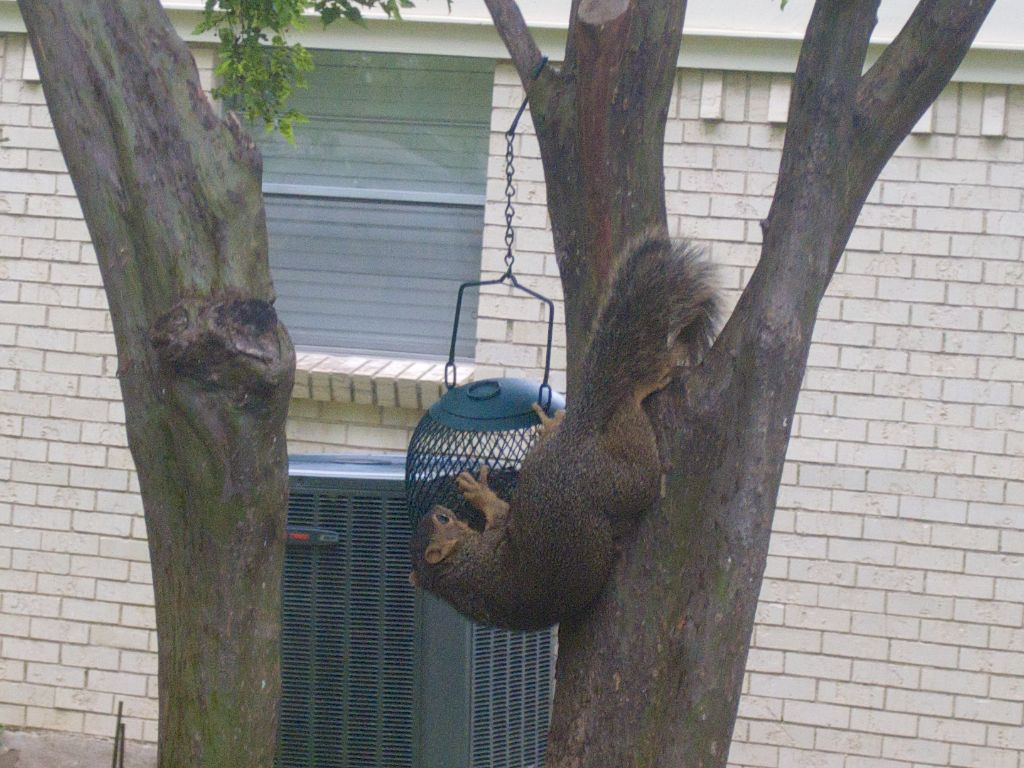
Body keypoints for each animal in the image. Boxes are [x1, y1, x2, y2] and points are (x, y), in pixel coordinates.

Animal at [403, 239, 716, 630]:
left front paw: (476, 490)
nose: (439, 507)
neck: (456, 573)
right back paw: (639, 388)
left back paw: (551, 425)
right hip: (619, 482)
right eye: (443, 520)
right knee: (636, 448)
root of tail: (573, 438)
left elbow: (496, 510)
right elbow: (503, 512)